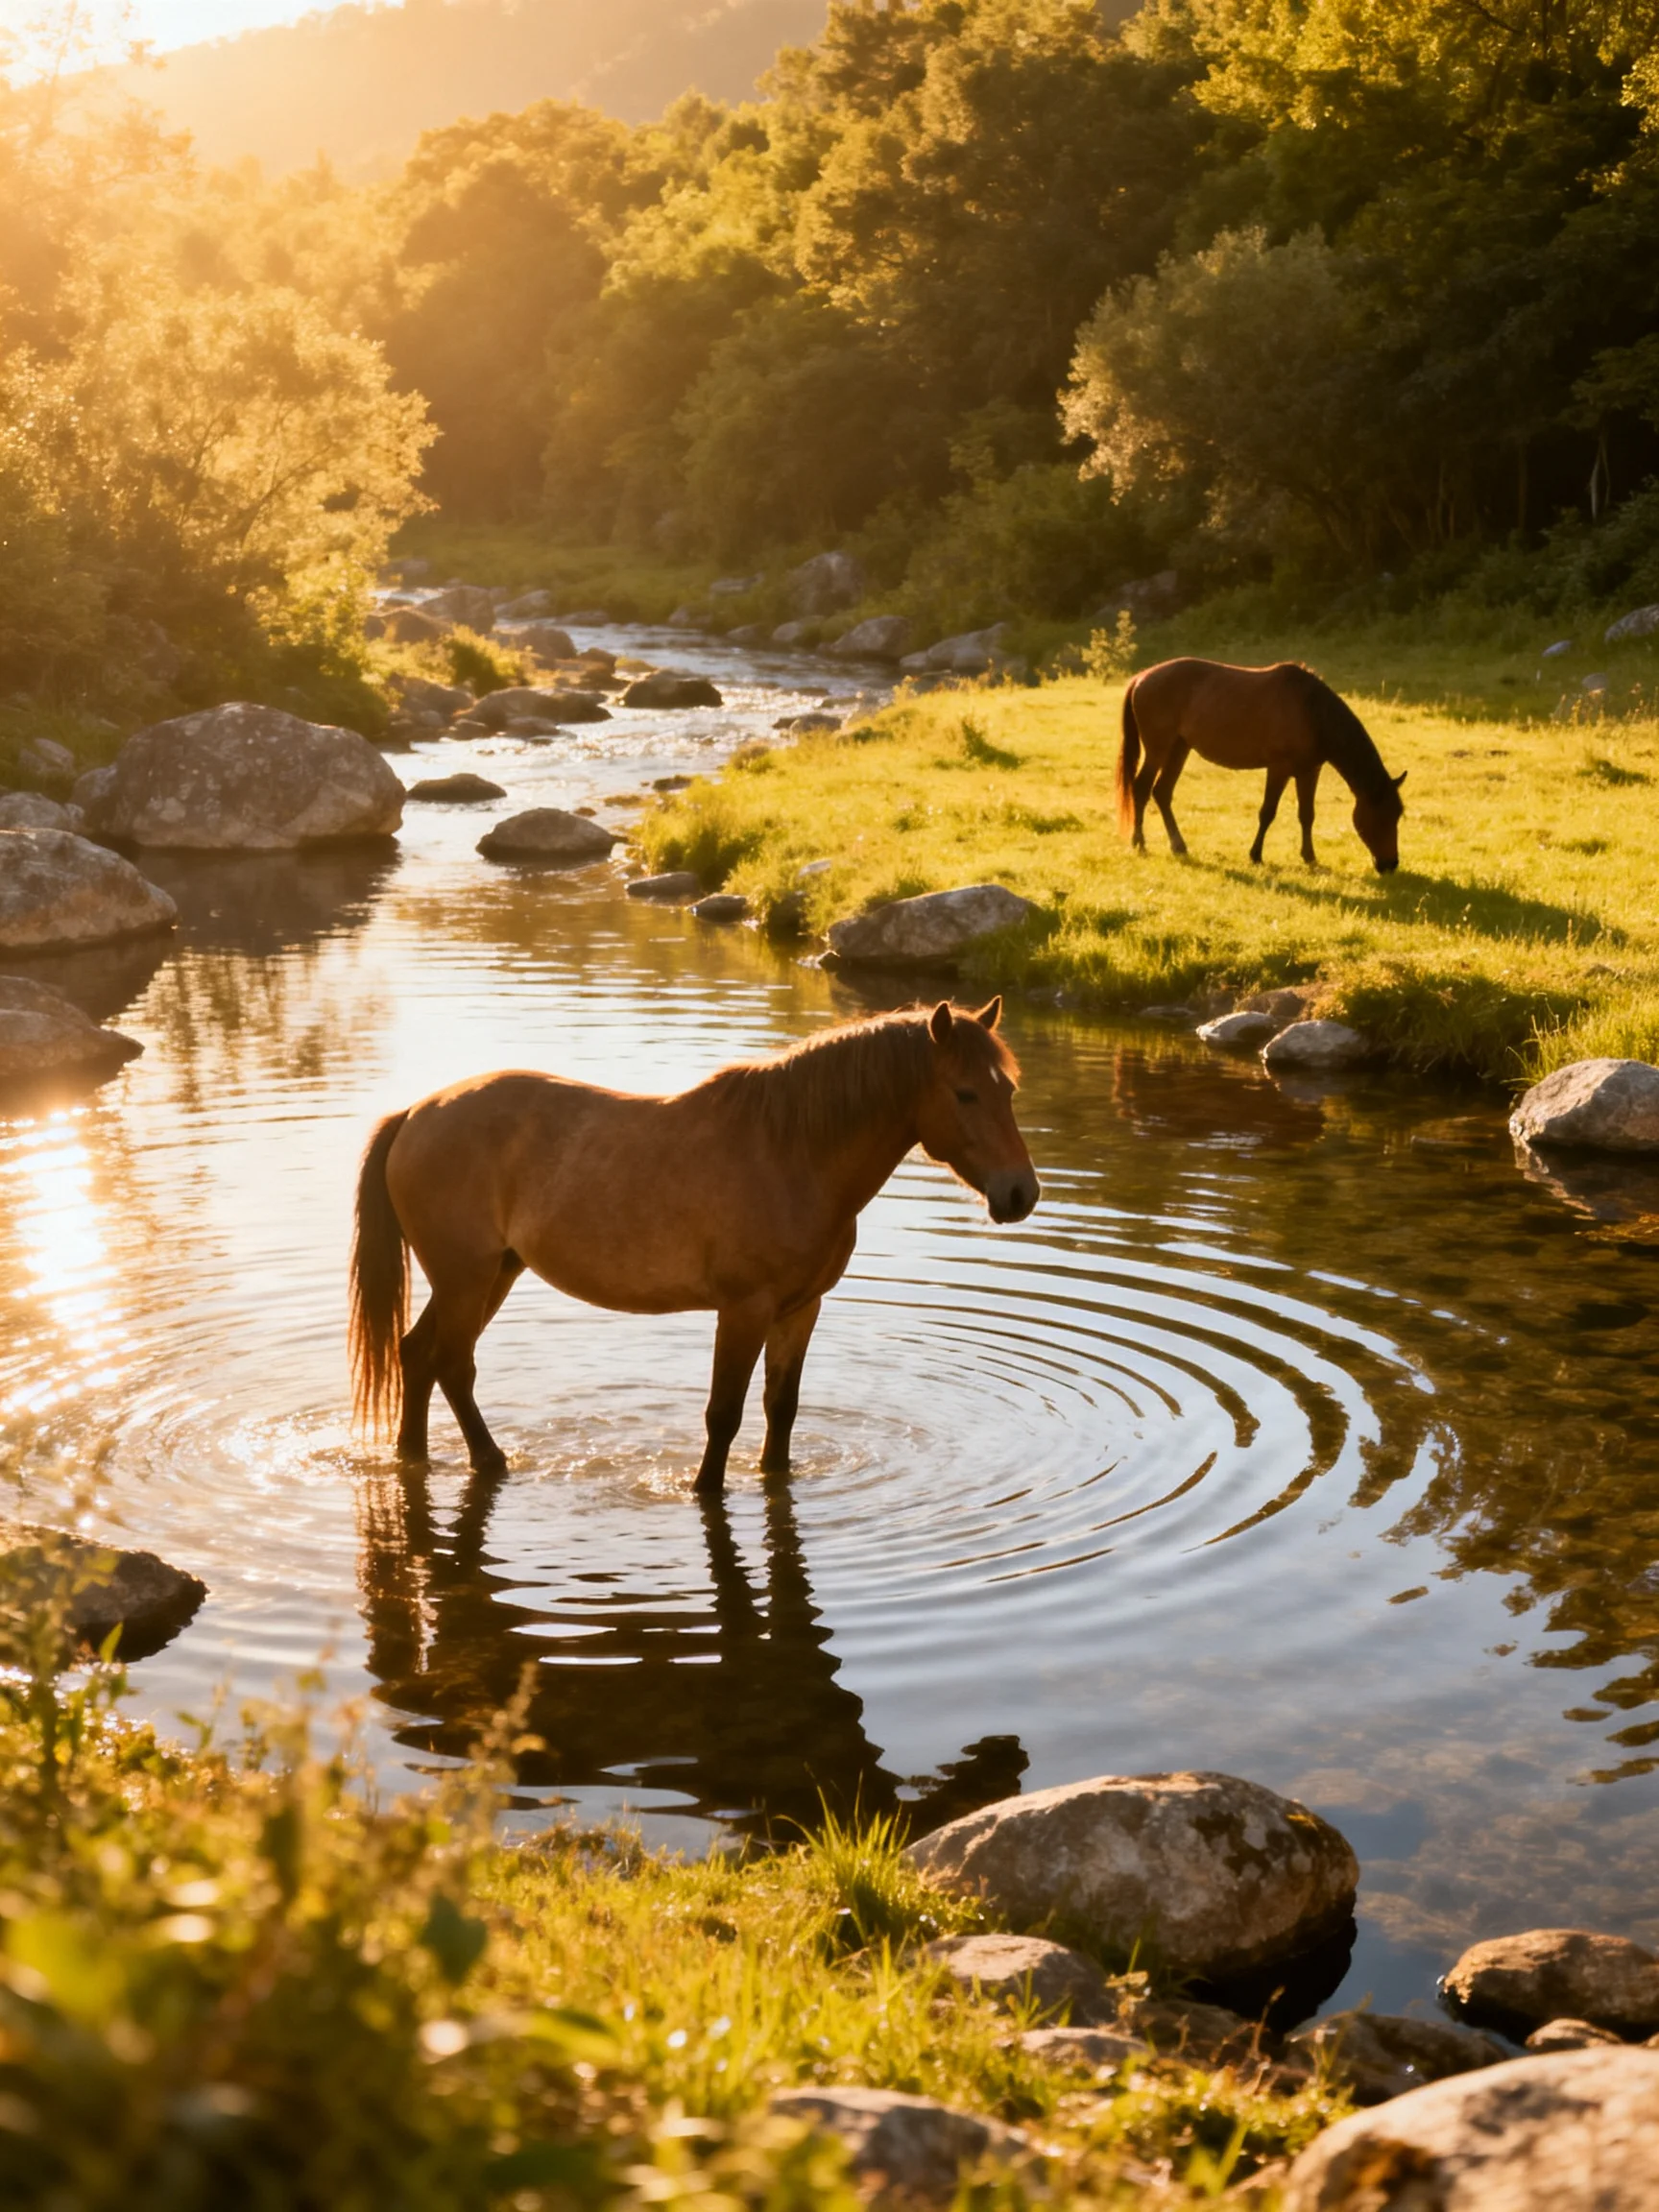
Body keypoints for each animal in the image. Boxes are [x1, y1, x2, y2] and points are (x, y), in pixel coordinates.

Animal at [348, 999, 1039, 1489]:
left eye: (1008, 1090)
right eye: (965, 1093)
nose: (1020, 1194)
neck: (792, 1153)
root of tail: (416, 1113)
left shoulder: (800, 1309)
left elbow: (780, 1408)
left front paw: (774, 1477)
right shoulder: (743, 1309)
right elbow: (723, 1413)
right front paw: (705, 1490)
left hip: (491, 1274)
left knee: (417, 1355)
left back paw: (415, 1455)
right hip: (466, 1279)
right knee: (451, 1364)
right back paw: (491, 1461)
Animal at [1116, 657, 1406, 871]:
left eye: (1398, 815)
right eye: (1381, 816)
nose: (1390, 864)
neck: (1312, 712)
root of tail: (1141, 678)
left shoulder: (1309, 771)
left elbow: (1307, 815)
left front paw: (1310, 857)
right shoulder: (1279, 768)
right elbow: (1267, 812)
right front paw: (1256, 855)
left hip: (1180, 748)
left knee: (1162, 792)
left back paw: (1178, 846)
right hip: (1158, 749)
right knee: (1141, 788)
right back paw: (1139, 843)